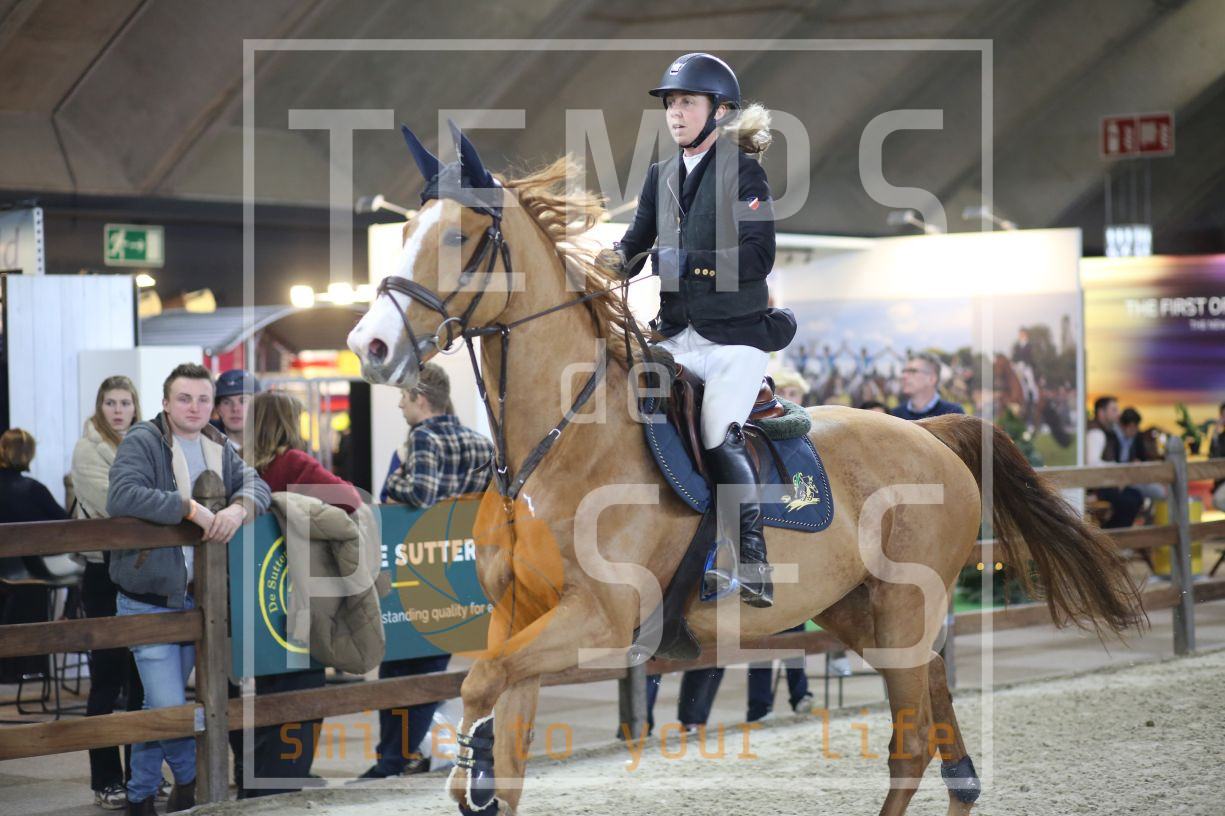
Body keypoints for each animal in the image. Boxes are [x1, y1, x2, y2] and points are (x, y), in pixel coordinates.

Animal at [347, 123, 1144, 816]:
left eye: (460, 236)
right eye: (408, 234)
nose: (370, 346)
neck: (558, 445)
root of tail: (930, 434)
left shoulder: (598, 619)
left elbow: (478, 687)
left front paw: (461, 772)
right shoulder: (520, 618)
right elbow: (503, 747)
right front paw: (476, 774)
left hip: (904, 609)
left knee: (912, 741)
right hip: (863, 613)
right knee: (940, 724)